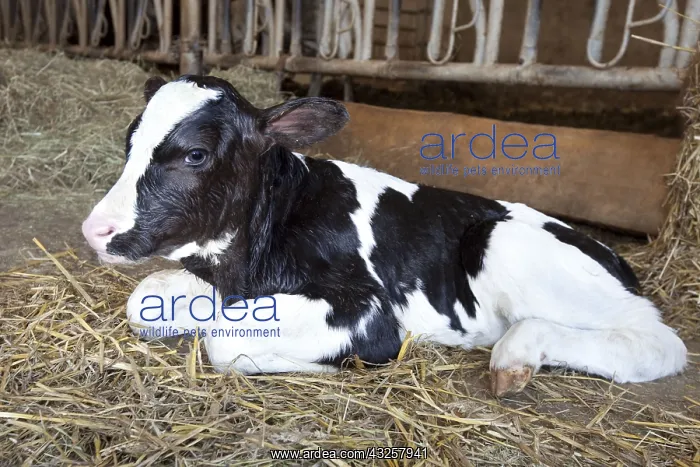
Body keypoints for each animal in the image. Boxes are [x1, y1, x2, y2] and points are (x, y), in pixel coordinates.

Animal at [81, 75, 687, 396]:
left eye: (195, 155)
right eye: (130, 142)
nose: (95, 230)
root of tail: (614, 257)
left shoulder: (367, 309)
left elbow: (226, 342)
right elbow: (147, 300)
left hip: (505, 241)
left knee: (657, 341)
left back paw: (517, 355)